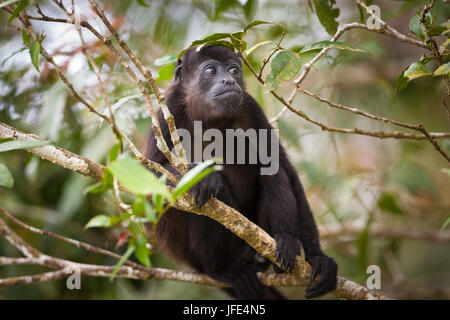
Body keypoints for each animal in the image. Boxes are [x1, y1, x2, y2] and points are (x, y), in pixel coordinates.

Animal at [144, 45, 338, 300]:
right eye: (211, 70)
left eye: (234, 70)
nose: (228, 81)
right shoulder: (168, 111)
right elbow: (147, 178)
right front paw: (203, 175)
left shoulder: (251, 107)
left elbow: (284, 167)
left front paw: (318, 257)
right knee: (210, 198)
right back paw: (221, 269)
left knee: (273, 173)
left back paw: (285, 243)